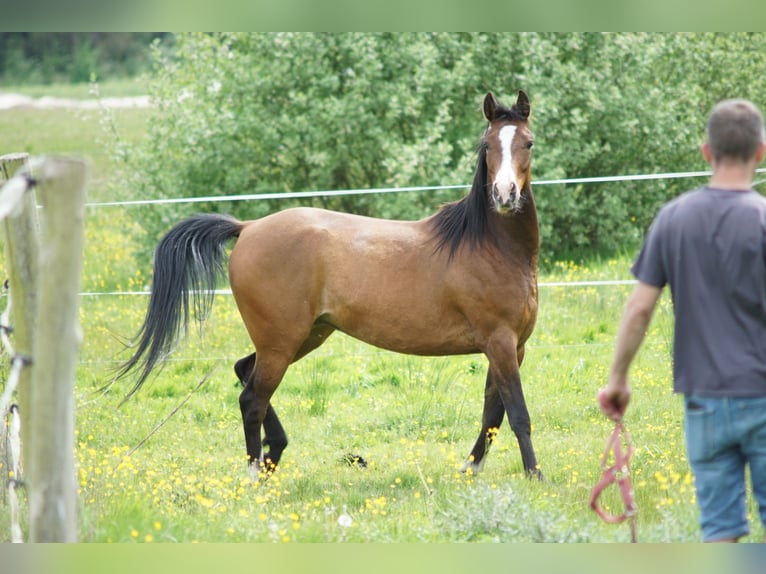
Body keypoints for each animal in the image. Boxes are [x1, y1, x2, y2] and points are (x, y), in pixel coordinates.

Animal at [117, 91, 544, 482]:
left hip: (305, 336)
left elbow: (493, 413)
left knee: (244, 372)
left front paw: (471, 468)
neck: (488, 247)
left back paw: (274, 454)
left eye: (528, 142)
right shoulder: (499, 342)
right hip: (281, 342)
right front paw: (535, 475)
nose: (504, 195)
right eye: (488, 145)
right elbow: (518, 414)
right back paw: (255, 474)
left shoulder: (513, 347)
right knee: (252, 398)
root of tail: (248, 228)